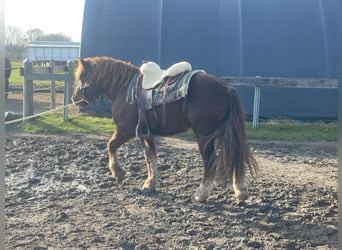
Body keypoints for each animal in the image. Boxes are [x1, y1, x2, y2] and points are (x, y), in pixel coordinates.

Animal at [73, 56, 260, 203]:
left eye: (82, 76)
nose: (74, 98)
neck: (125, 89)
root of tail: (226, 88)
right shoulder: (147, 133)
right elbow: (150, 157)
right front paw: (150, 184)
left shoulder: (125, 131)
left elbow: (110, 146)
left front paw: (118, 173)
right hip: (225, 133)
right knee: (235, 155)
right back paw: (240, 192)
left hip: (204, 136)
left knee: (210, 161)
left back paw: (201, 194)